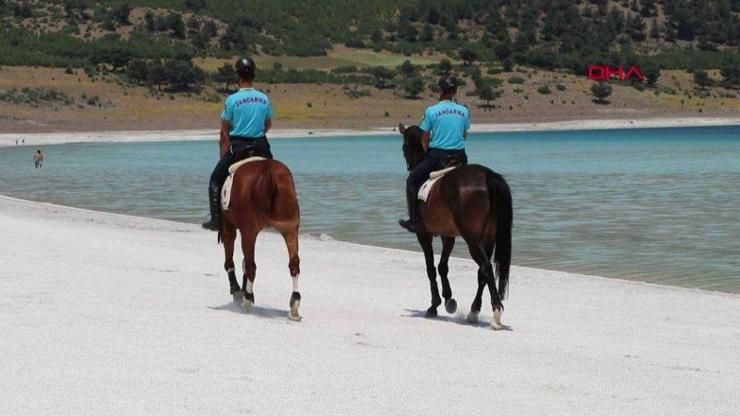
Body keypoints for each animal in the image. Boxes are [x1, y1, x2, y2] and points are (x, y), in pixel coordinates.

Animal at [218, 141, 302, 320]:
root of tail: (267, 172)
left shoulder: (229, 228)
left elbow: (230, 262)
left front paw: (237, 291)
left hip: (248, 231)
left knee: (251, 266)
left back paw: (247, 301)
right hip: (290, 229)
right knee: (294, 263)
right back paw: (294, 305)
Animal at [398, 123, 516, 328]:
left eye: (404, 147)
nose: (410, 168)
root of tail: (487, 175)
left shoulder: (423, 234)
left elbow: (431, 268)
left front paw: (434, 305)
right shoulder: (448, 236)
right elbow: (442, 267)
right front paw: (449, 300)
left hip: (472, 239)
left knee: (486, 267)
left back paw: (496, 314)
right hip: (487, 238)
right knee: (481, 272)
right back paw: (474, 311)